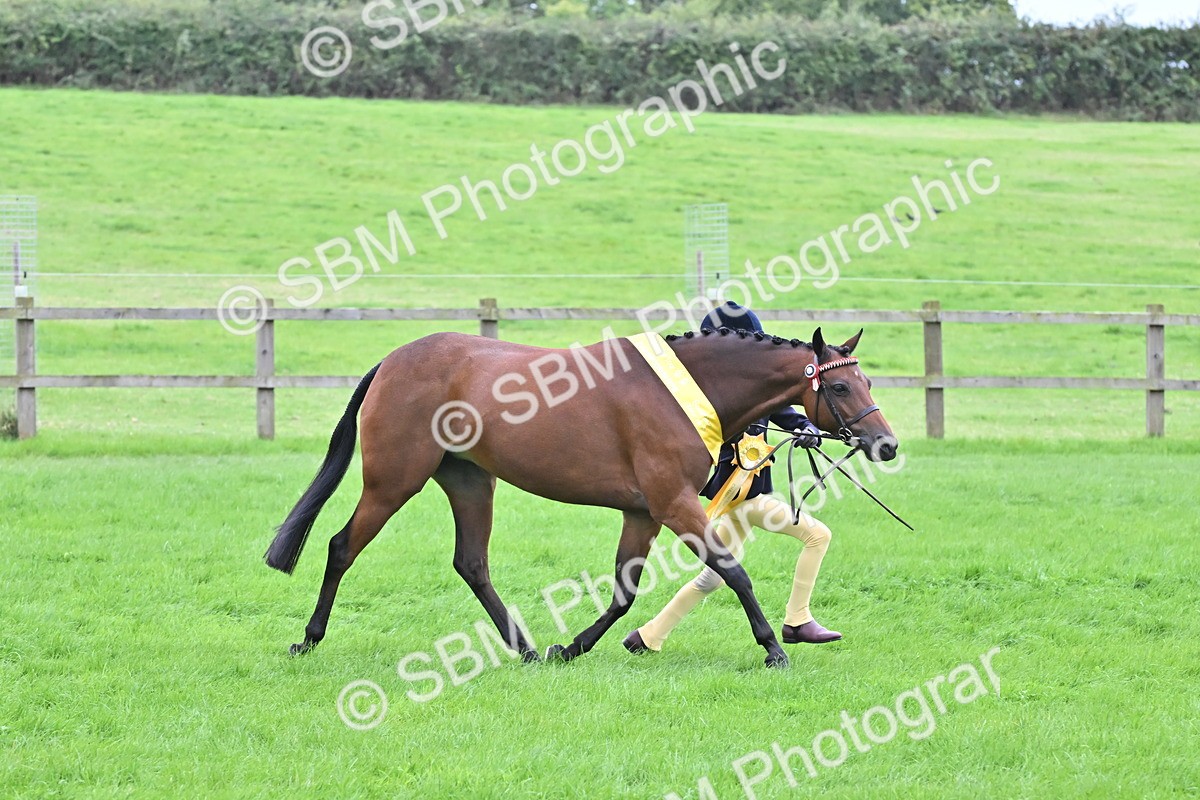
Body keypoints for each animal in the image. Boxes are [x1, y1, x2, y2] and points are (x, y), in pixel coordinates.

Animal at [264, 325, 898, 668]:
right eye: (842, 386)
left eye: (867, 381)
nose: (886, 444)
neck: (688, 389)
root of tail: (394, 360)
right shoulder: (673, 504)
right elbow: (733, 572)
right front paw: (773, 648)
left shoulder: (642, 511)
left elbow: (623, 592)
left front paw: (572, 648)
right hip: (394, 481)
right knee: (341, 546)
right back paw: (309, 639)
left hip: (470, 482)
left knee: (472, 563)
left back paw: (524, 648)